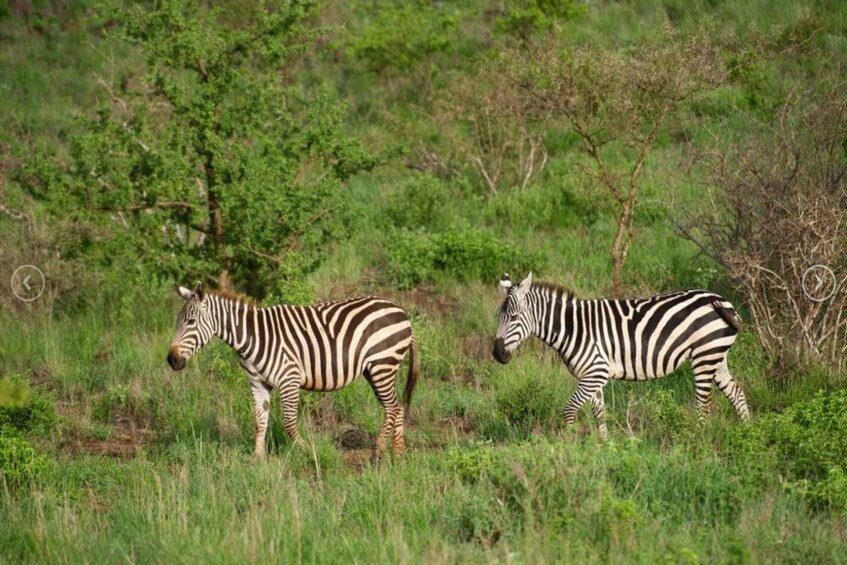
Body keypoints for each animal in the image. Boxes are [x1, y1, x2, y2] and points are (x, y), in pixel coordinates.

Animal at [167, 284, 419, 458]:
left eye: (190, 321)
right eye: (177, 322)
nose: (171, 360)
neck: (252, 337)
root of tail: (401, 311)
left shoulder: (290, 379)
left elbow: (288, 423)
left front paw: (308, 452)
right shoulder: (258, 384)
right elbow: (260, 421)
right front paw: (257, 459)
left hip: (382, 364)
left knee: (392, 407)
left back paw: (378, 452)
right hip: (377, 369)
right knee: (396, 407)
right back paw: (398, 454)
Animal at [492, 272, 750, 437]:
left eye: (514, 317)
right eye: (498, 317)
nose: (497, 354)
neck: (573, 327)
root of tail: (721, 300)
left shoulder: (596, 372)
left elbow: (570, 409)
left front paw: (570, 445)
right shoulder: (591, 376)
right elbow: (600, 414)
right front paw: (604, 448)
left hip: (704, 356)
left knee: (704, 404)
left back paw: (698, 440)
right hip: (716, 356)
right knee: (736, 392)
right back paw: (748, 433)